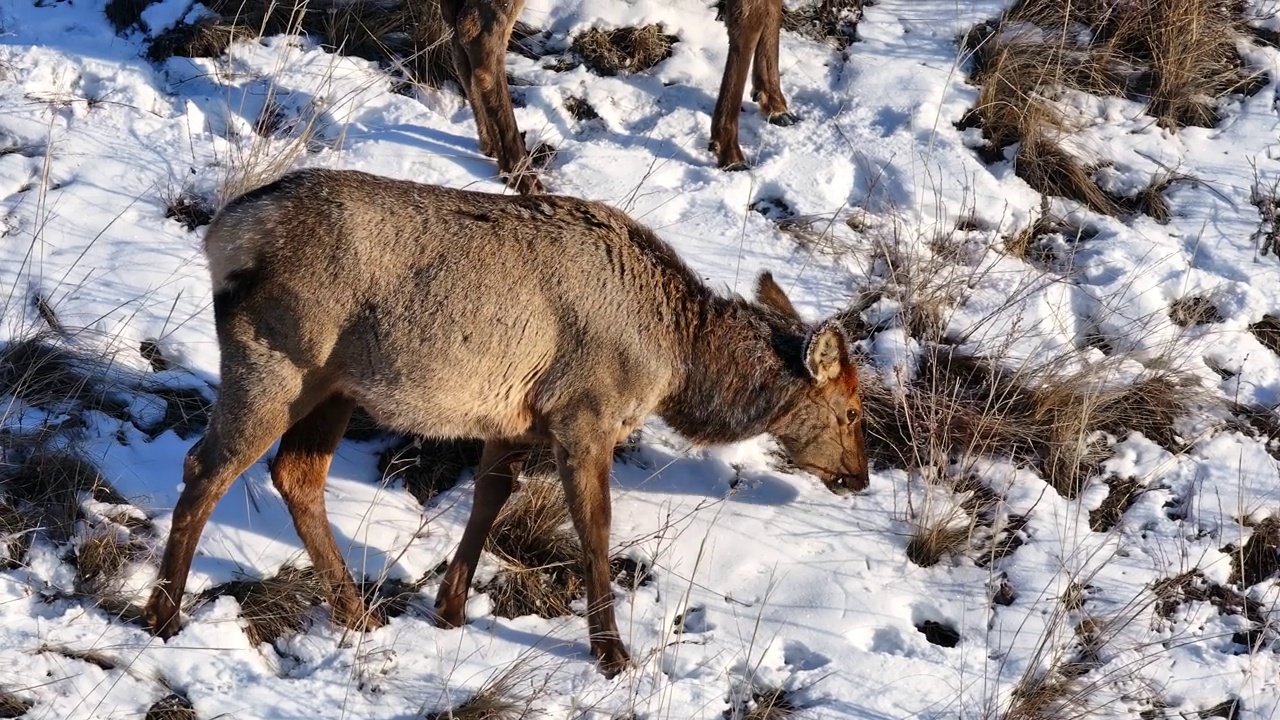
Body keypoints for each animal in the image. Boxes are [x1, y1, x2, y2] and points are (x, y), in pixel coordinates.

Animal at [142, 166, 870, 671]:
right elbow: (595, 530)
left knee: (295, 476)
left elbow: (489, 498)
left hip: (336, 386)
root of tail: (221, 236)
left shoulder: (517, 419)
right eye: (853, 411)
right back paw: (162, 616)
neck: (674, 363)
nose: (860, 478)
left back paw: (355, 612)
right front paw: (611, 654)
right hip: (277, 363)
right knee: (206, 466)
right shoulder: (583, 411)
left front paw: (450, 609)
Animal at [445, 0, 793, 193]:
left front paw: (775, 102)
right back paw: (522, 173)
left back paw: (491, 145)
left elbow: (771, 12)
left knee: (458, 30)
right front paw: (728, 148)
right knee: (481, 32)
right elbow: (750, 20)